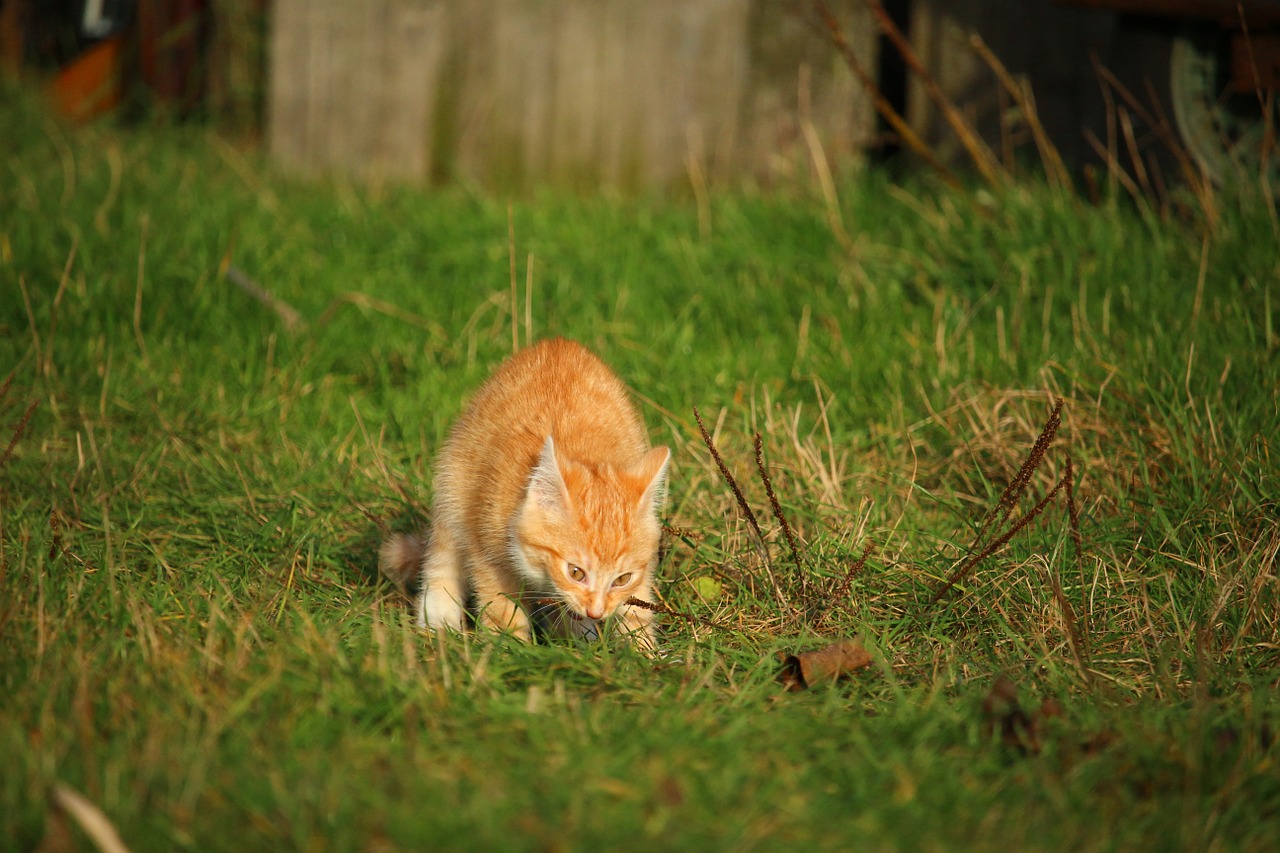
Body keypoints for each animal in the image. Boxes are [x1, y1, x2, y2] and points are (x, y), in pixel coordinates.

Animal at [378, 335, 670, 648]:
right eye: (576, 572)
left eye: (621, 579)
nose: (596, 611)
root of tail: (557, 342)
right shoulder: (486, 548)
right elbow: (503, 610)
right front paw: (509, 650)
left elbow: (637, 610)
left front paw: (642, 652)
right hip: (453, 484)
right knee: (442, 556)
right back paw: (438, 621)